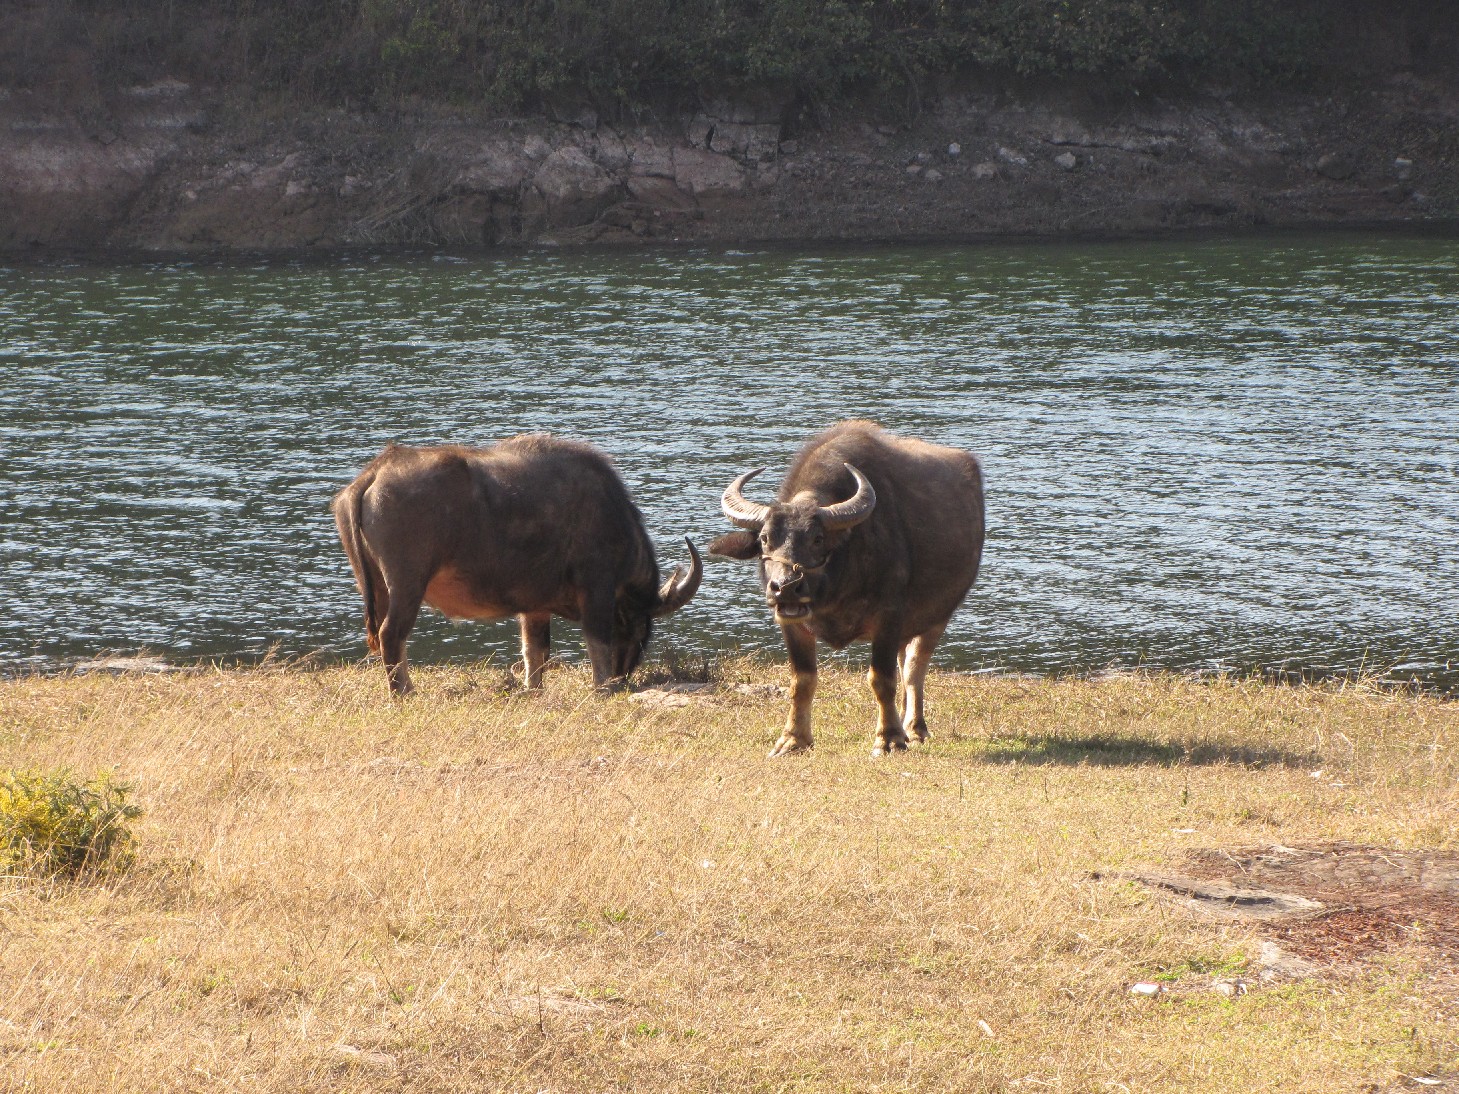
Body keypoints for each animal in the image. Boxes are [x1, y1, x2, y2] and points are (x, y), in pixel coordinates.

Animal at [335, 434, 700, 694]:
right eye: (638, 626)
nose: (623, 678)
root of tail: (376, 472)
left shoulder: (535, 607)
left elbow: (535, 650)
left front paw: (532, 688)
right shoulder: (597, 587)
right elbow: (597, 642)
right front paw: (602, 687)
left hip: (374, 585)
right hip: (407, 583)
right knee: (391, 633)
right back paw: (405, 692)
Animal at [711, 423, 986, 758]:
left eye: (817, 539)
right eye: (764, 539)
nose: (785, 587)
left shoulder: (888, 617)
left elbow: (882, 679)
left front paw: (889, 739)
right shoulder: (791, 624)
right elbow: (801, 681)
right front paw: (793, 739)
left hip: (937, 615)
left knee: (914, 668)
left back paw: (913, 728)